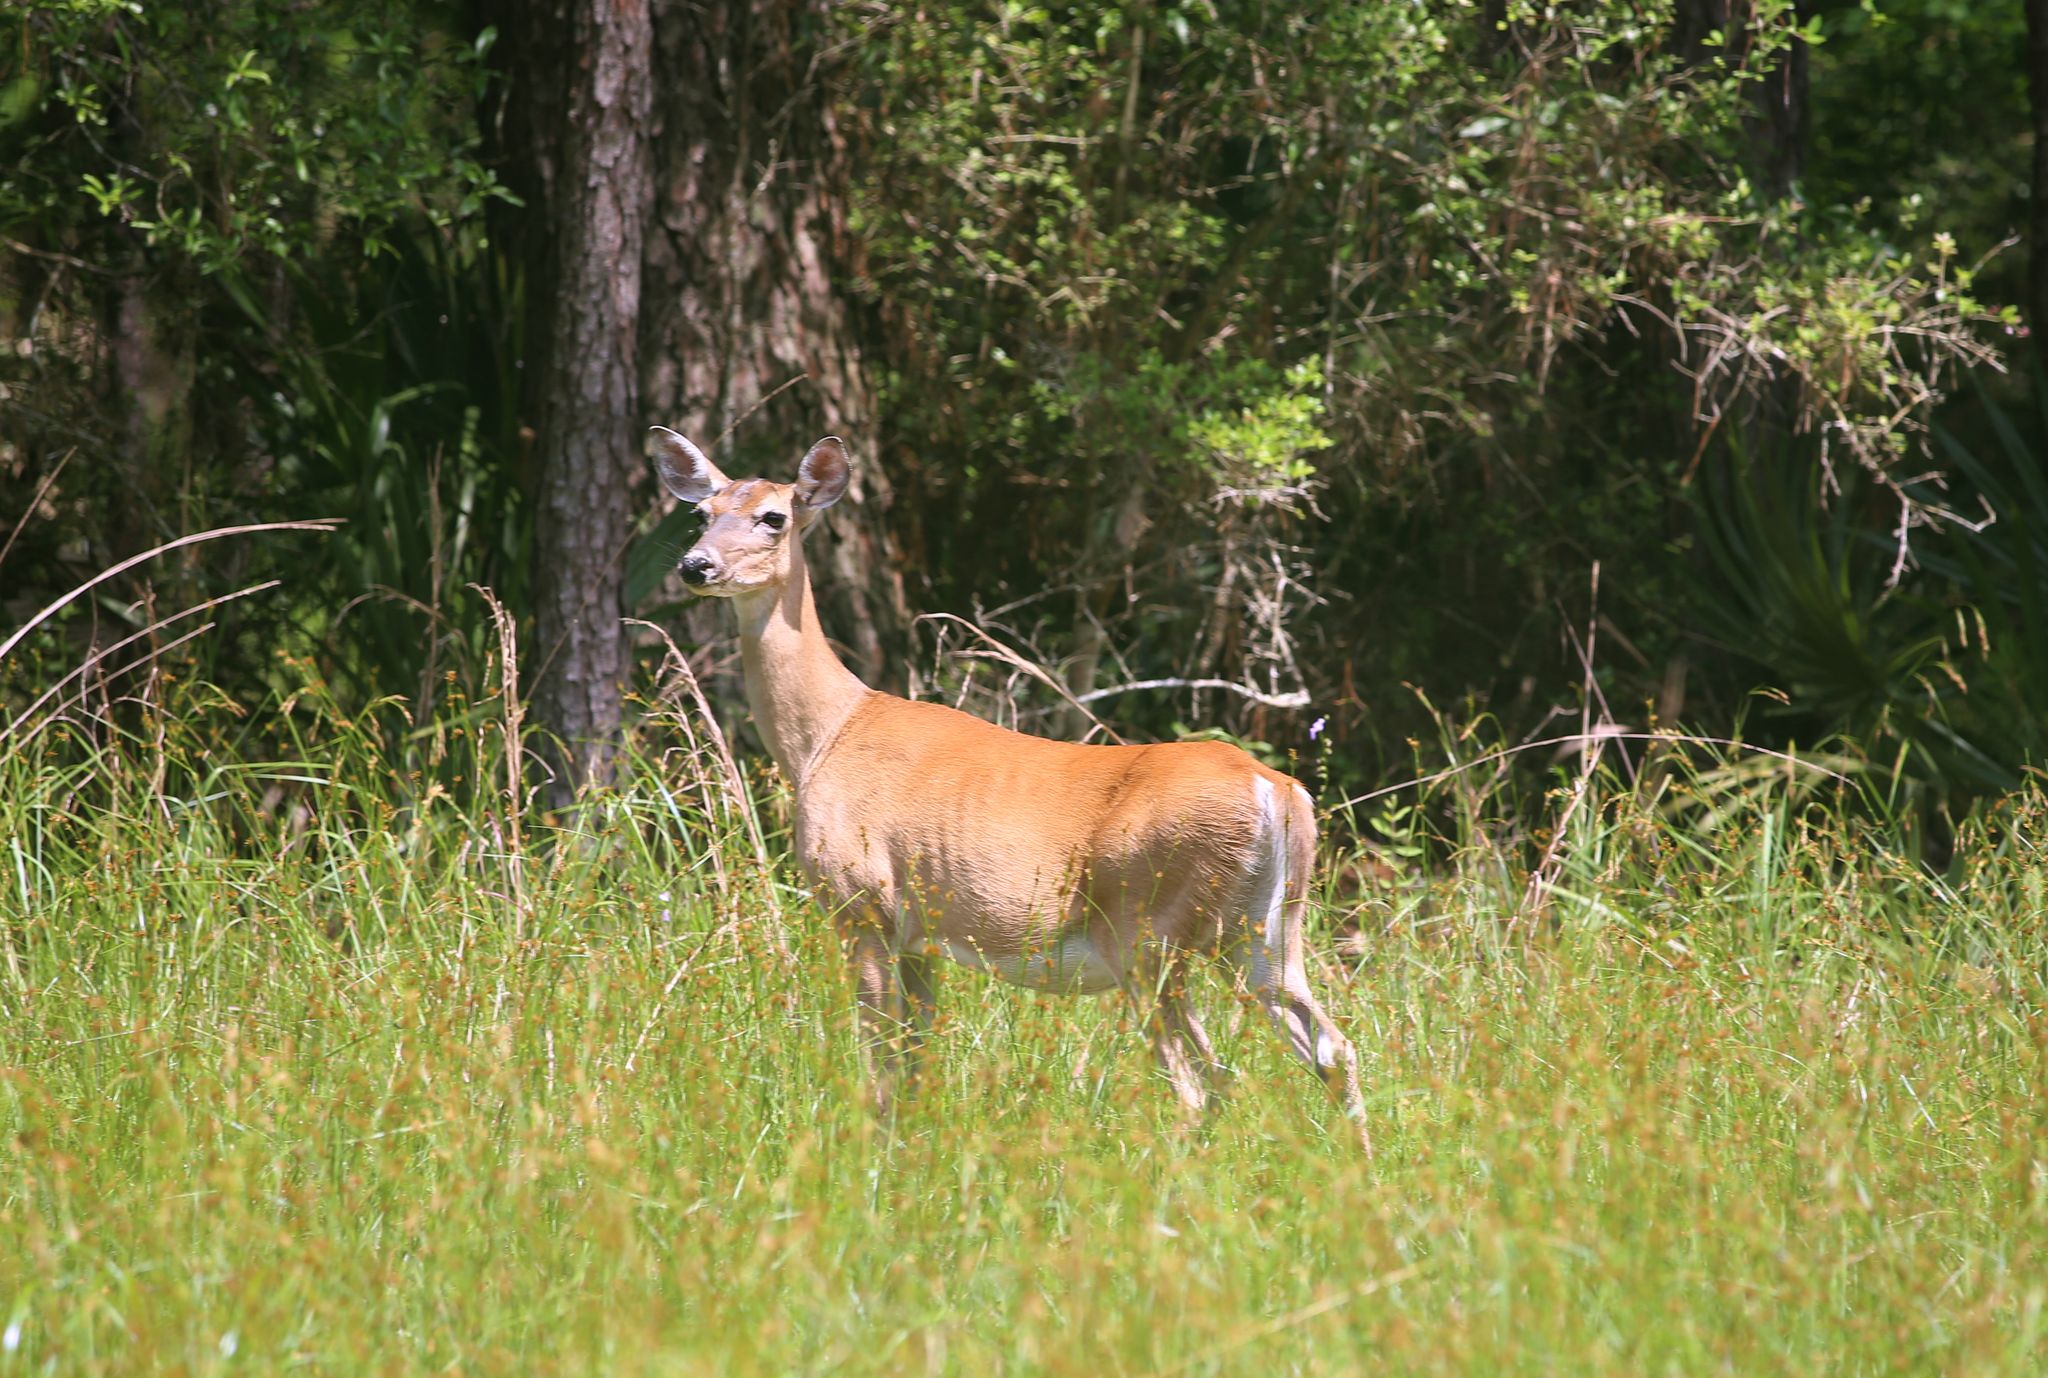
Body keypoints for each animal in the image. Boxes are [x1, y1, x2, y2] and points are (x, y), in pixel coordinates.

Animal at [652, 427, 1369, 1151]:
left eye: (773, 516)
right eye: (701, 513)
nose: (693, 566)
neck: (826, 736)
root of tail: (1276, 791)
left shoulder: (861, 903)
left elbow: (880, 1062)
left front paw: (873, 1160)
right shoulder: (919, 934)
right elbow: (914, 1061)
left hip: (1147, 928)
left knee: (1203, 1081)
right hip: (1267, 930)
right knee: (1329, 1048)